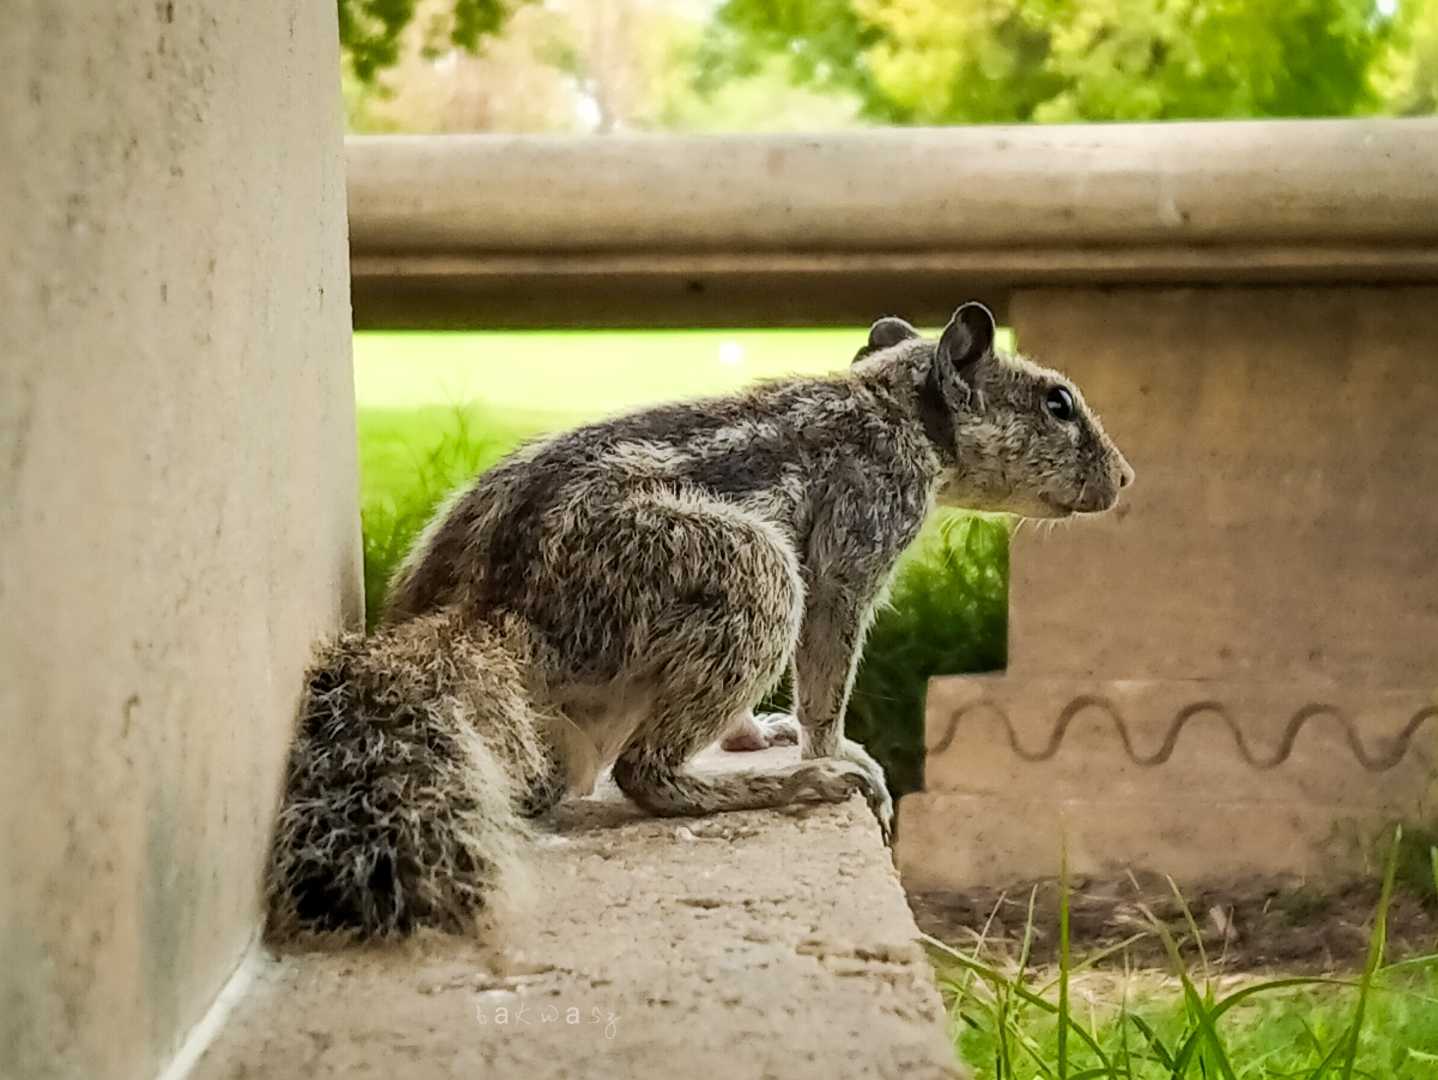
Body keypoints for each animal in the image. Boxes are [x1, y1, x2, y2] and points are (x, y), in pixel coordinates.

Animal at [265, 302, 1134, 940]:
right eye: (1057, 403)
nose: (1125, 477)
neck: (895, 408)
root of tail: (492, 608)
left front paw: (756, 732)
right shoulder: (854, 545)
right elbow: (828, 670)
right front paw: (831, 751)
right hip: (751, 573)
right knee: (645, 774)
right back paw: (788, 784)